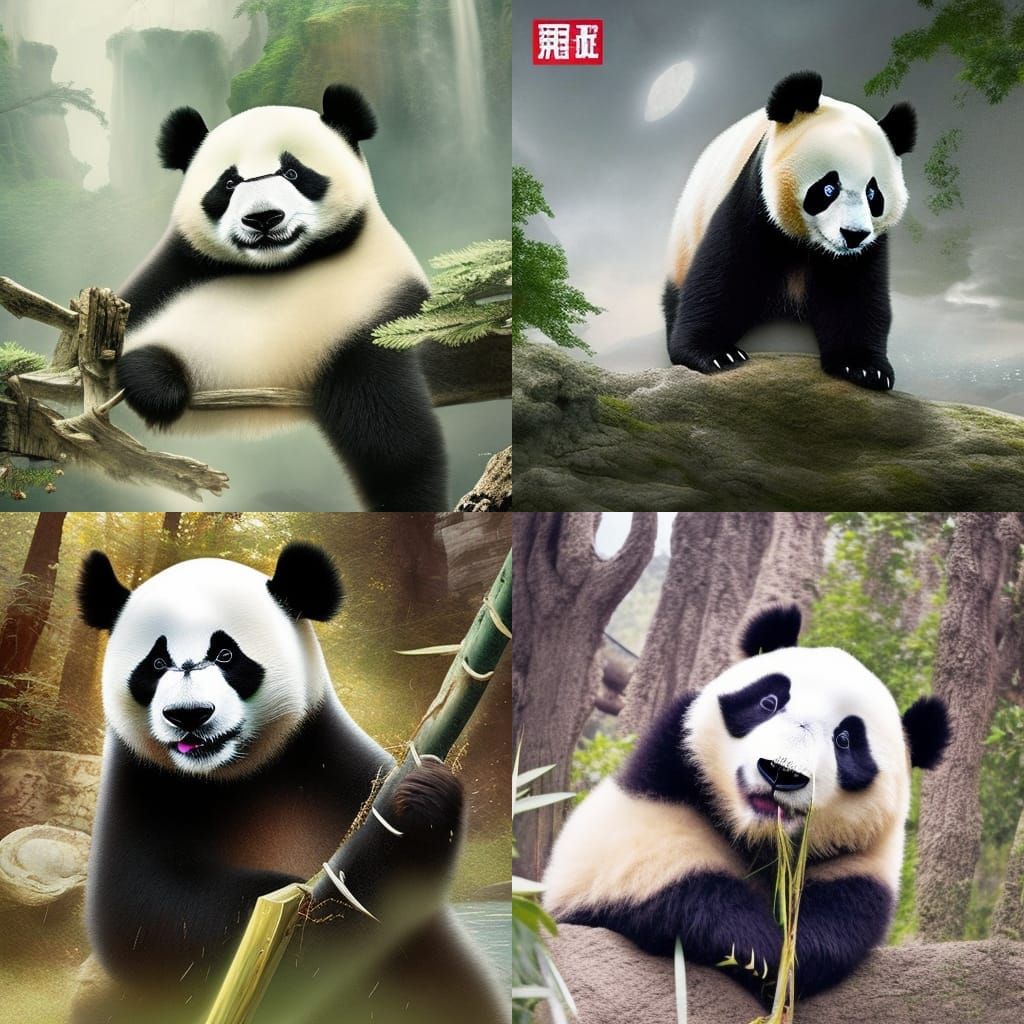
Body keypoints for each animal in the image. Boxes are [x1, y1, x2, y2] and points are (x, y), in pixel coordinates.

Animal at [72, 542, 507, 1024]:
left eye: (226, 656)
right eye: (156, 662)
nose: (189, 715)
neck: (235, 776)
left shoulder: (325, 759)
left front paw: (417, 798)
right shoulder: (144, 783)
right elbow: (141, 913)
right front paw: (299, 904)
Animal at [116, 84, 446, 511]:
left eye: (292, 172)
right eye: (229, 183)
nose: (263, 218)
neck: (282, 267)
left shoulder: (374, 312)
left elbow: (389, 432)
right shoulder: (175, 269)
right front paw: (153, 384)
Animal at [542, 605, 950, 1006]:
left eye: (845, 740)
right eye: (769, 702)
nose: (781, 771)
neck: (755, 836)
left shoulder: (864, 855)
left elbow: (845, 908)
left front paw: (785, 962)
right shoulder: (662, 769)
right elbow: (654, 860)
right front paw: (756, 947)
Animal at [664, 70, 916, 391]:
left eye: (873, 194)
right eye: (828, 187)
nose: (853, 234)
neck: (807, 243)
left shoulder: (866, 249)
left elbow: (855, 295)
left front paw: (863, 367)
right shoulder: (754, 200)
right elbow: (723, 275)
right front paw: (715, 354)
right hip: (685, 239)